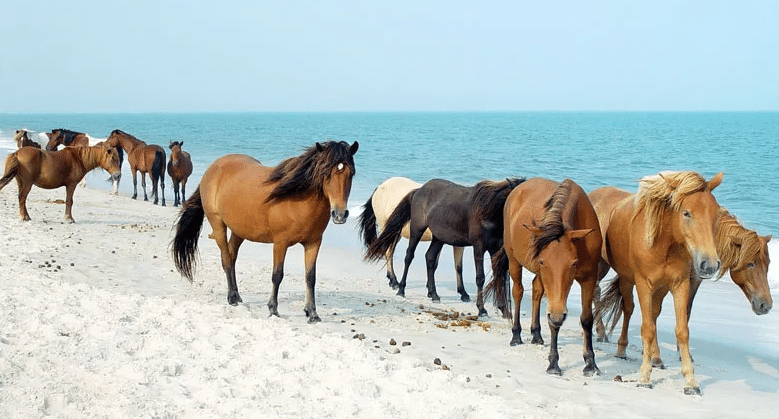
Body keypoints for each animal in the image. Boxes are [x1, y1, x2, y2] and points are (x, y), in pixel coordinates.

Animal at [172, 142, 358, 324]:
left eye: (352, 173)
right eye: (326, 173)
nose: (340, 214)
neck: (298, 199)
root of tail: (212, 168)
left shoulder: (313, 243)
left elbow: (310, 277)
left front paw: (312, 313)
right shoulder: (280, 243)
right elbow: (277, 275)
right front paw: (273, 309)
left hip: (239, 231)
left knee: (232, 257)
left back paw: (237, 295)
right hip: (218, 225)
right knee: (226, 260)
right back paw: (231, 297)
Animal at [364, 176, 524, 316]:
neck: (486, 211)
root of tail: (419, 190)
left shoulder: (494, 249)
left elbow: (499, 277)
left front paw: (503, 310)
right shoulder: (478, 248)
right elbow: (480, 278)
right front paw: (481, 309)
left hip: (437, 238)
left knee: (429, 257)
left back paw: (434, 295)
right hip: (416, 230)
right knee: (407, 256)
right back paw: (400, 288)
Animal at [484, 177, 608, 378]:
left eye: (573, 263)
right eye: (542, 261)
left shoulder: (589, 278)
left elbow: (586, 319)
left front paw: (590, 363)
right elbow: (553, 322)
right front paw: (554, 363)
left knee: (536, 290)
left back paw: (536, 334)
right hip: (514, 260)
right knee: (518, 292)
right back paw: (516, 335)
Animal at [592, 171, 724, 398]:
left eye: (715, 213)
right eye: (686, 213)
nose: (710, 264)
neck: (664, 243)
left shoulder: (679, 285)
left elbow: (681, 330)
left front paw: (691, 382)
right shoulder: (644, 284)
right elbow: (647, 328)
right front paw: (644, 378)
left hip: (651, 285)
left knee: (646, 312)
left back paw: (654, 357)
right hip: (611, 271)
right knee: (614, 302)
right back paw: (614, 343)